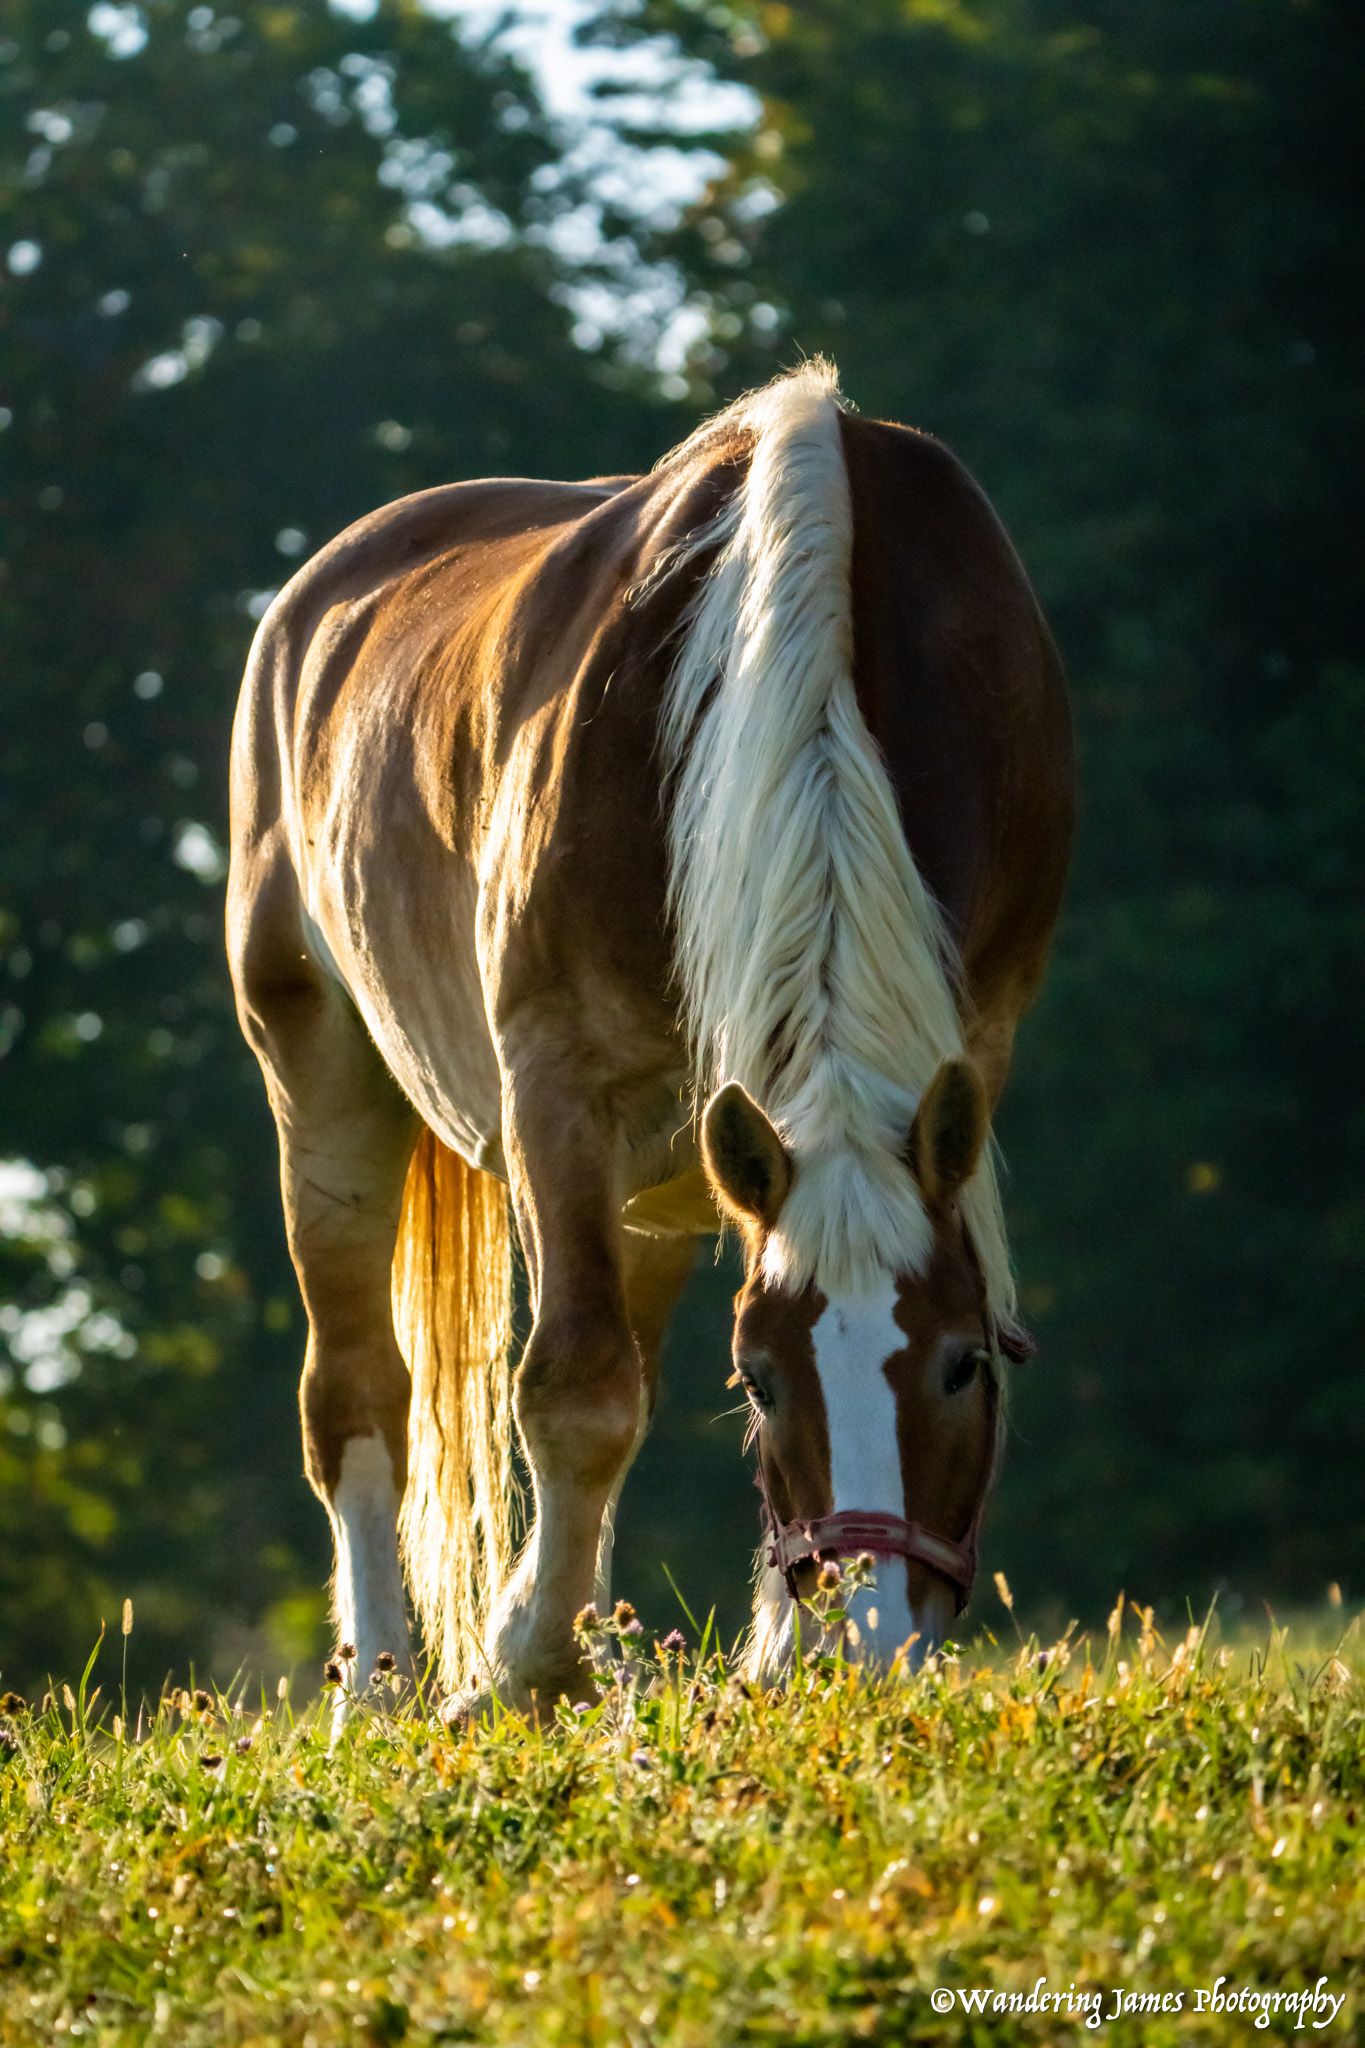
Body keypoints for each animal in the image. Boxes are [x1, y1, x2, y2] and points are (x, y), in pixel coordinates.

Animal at [227, 361, 1072, 1717]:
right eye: (765, 1378)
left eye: (961, 1364)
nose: (868, 1643)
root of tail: (310, 604)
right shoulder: (558, 1088)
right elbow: (575, 1386)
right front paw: (529, 1668)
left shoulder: (965, 1050)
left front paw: (747, 1648)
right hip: (321, 1076)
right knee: (359, 1388)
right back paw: (383, 1682)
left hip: (674, 1171)